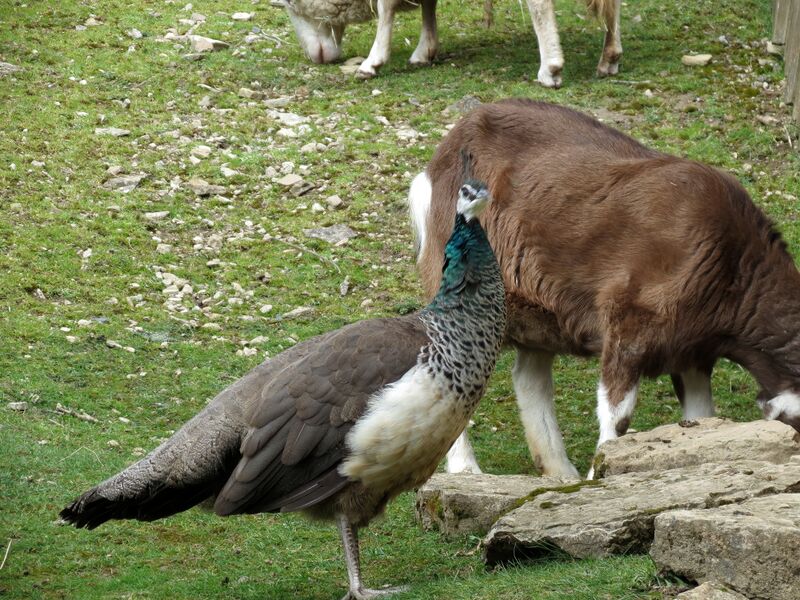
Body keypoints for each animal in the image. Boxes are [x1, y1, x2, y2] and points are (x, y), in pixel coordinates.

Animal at [276, 0, 622, 87]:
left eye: (291, 4)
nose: (316, 58)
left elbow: (386, 7)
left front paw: (372, 61)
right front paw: (425, 50)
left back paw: (550, 67)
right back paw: (610, 57)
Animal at [410, 99, 800, 478]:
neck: (732, 264)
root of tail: (439, 160)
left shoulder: (692, 350)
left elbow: (701, 417)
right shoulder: (629, 322)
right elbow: (618, 415)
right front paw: (600, 476)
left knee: (530, 378)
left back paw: (560, 473)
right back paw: (466, 468)